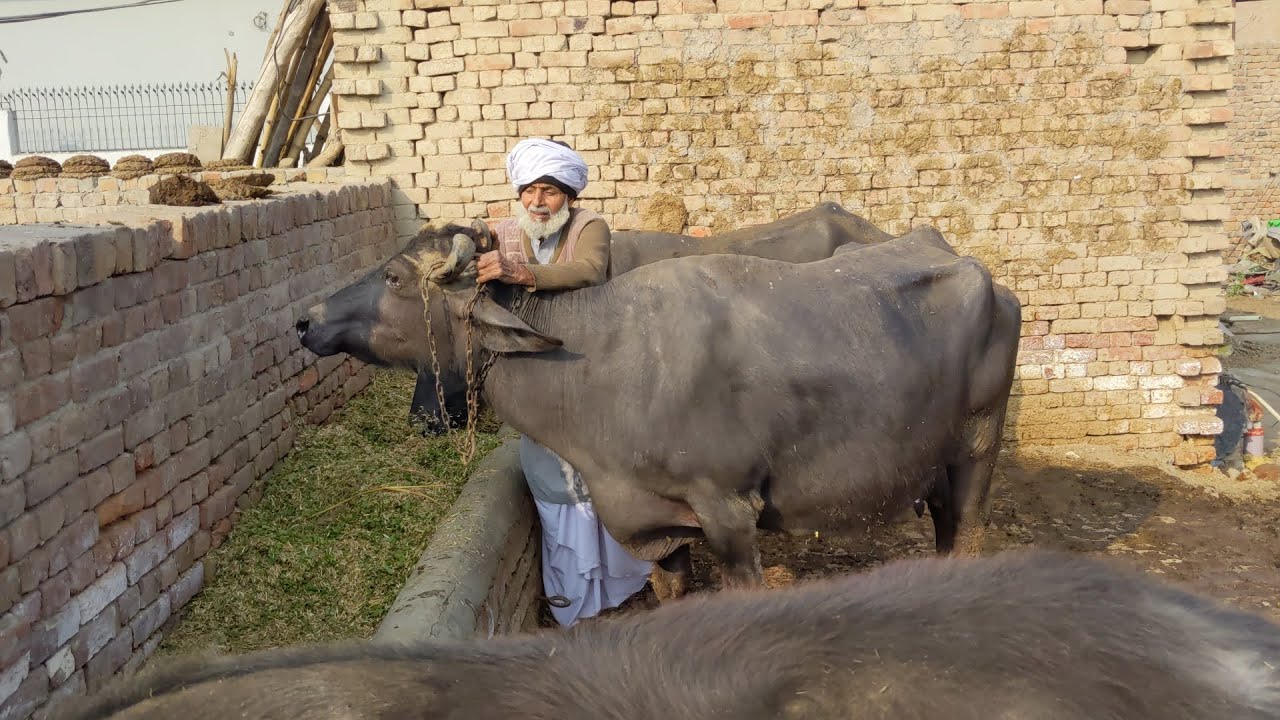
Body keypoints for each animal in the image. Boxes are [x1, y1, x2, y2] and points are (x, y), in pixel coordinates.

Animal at [295, 215, 1021, 593]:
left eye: (393, 276)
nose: (306, 320)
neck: (607, 363)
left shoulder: (729, 511)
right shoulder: (653, 521)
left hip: (977, 453)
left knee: (968, 532)